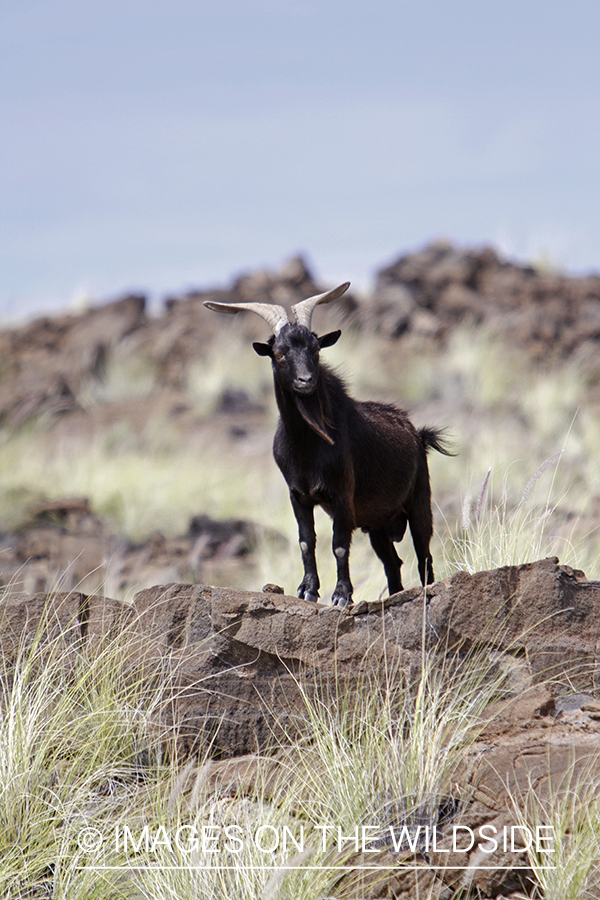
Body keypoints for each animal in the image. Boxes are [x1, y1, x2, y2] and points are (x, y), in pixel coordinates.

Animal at [205, 282, 450, 604]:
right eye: (279, 354)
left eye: (316, 349)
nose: (306, 380)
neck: (306, 446)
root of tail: (417, 434)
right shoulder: (297, 494)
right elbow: (306, 542)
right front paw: (307, 590)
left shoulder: (342, 493)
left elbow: (339, 545)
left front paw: (342, 595)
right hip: (378, 523)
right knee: (392, 563)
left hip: (419, 501)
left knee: (424, 556)